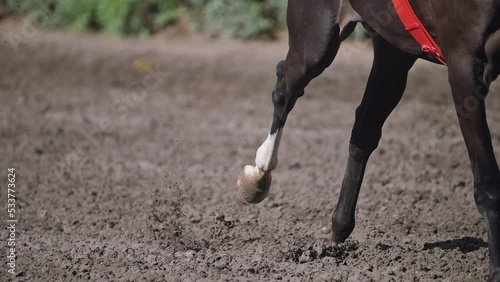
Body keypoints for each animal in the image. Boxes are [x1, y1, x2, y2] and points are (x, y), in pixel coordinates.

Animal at [237, 1, 500, 280]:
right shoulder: (463, 63)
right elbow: (486, 183)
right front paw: (495, 270)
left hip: (393, 50)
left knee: (364, 130)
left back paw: (338, 233)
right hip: (317, 40)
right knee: (285, 87)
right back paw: (258, 177)